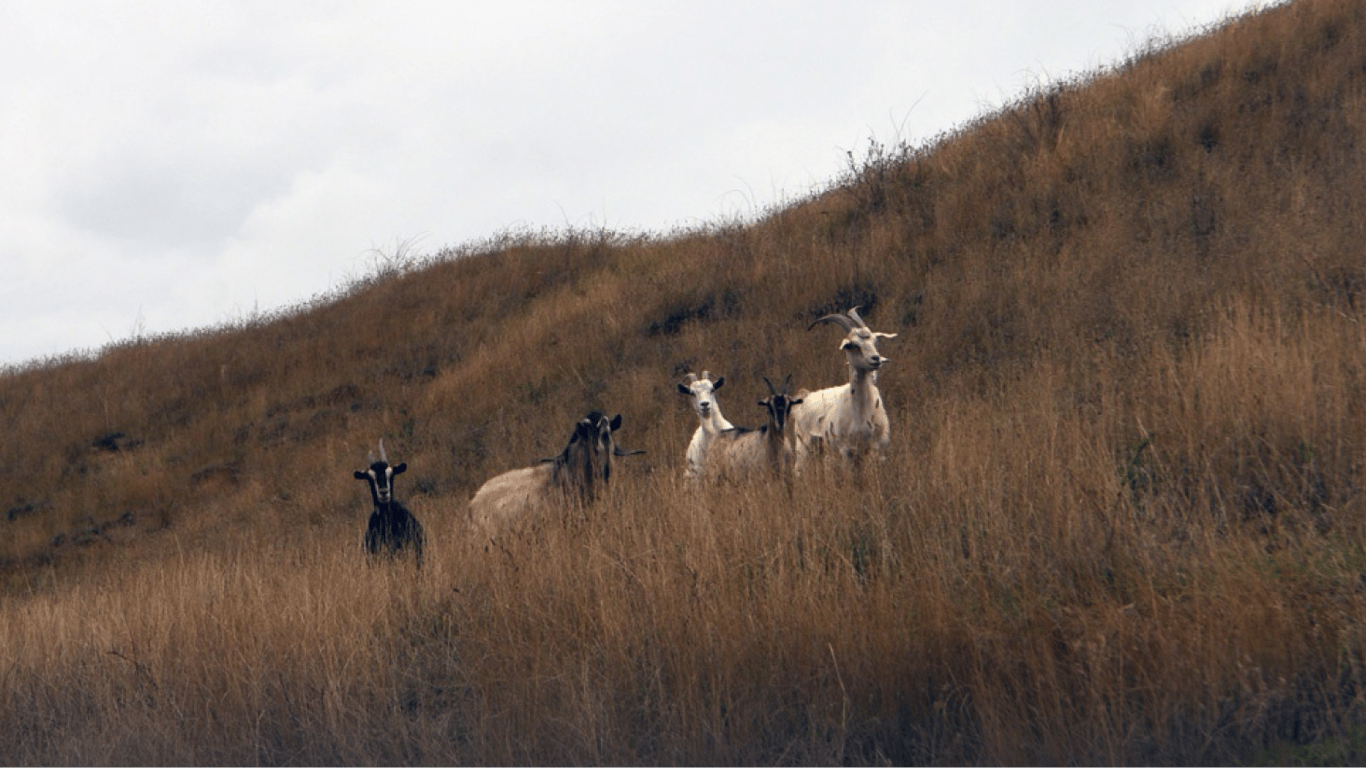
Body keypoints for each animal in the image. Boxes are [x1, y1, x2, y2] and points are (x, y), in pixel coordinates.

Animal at [792, 306, 896, 464]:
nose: (876, 359)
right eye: (853, 345)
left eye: (875, 341)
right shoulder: (846, 452)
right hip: (804, 449)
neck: (861, 415)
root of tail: (805, 397)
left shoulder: (876, 451)